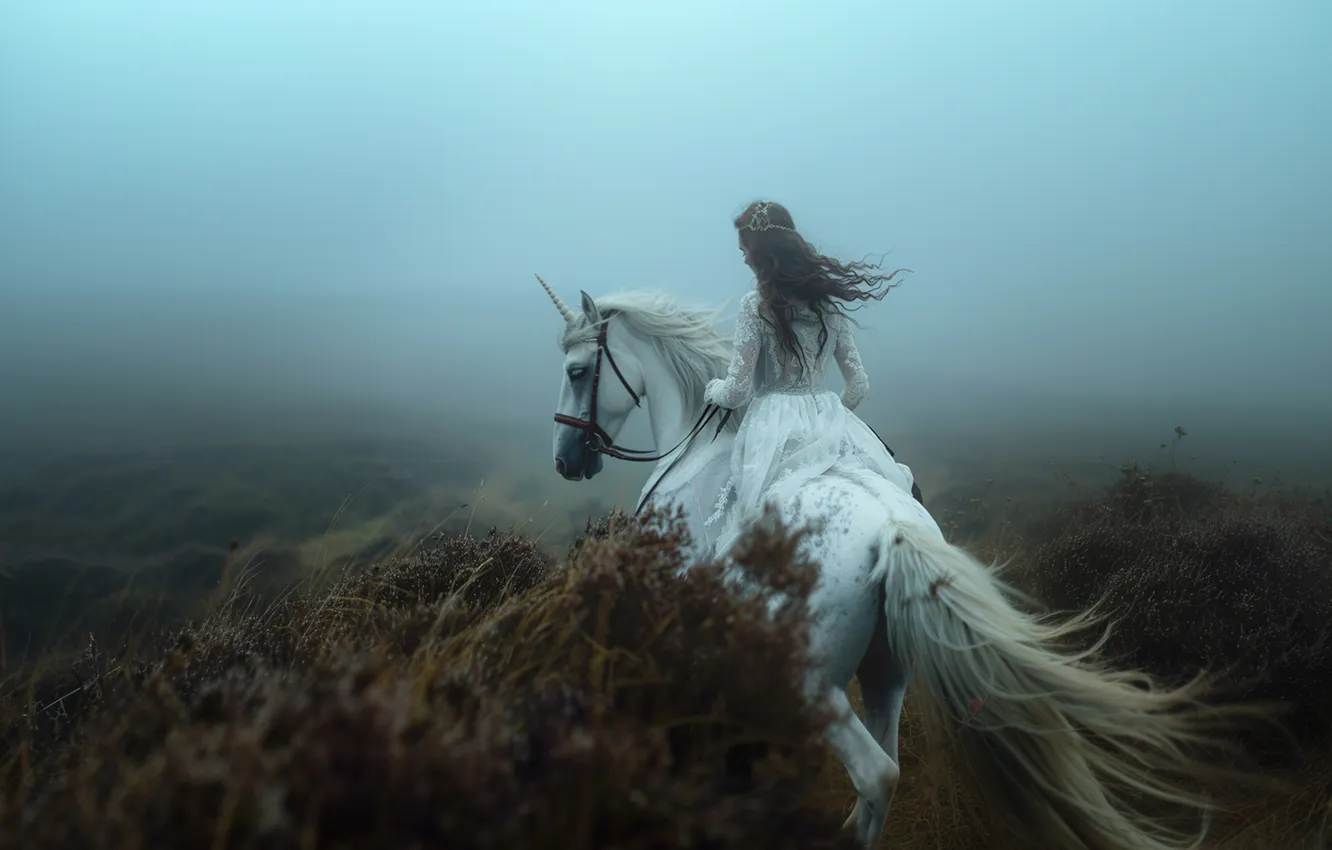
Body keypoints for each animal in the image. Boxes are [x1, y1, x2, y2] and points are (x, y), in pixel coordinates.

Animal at [537, 276, 1235, 850]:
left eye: (577, 369)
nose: (566, 458)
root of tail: (890, 528)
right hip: (887, 672)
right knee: (887, 767)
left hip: (815, 687)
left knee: (877, 773)